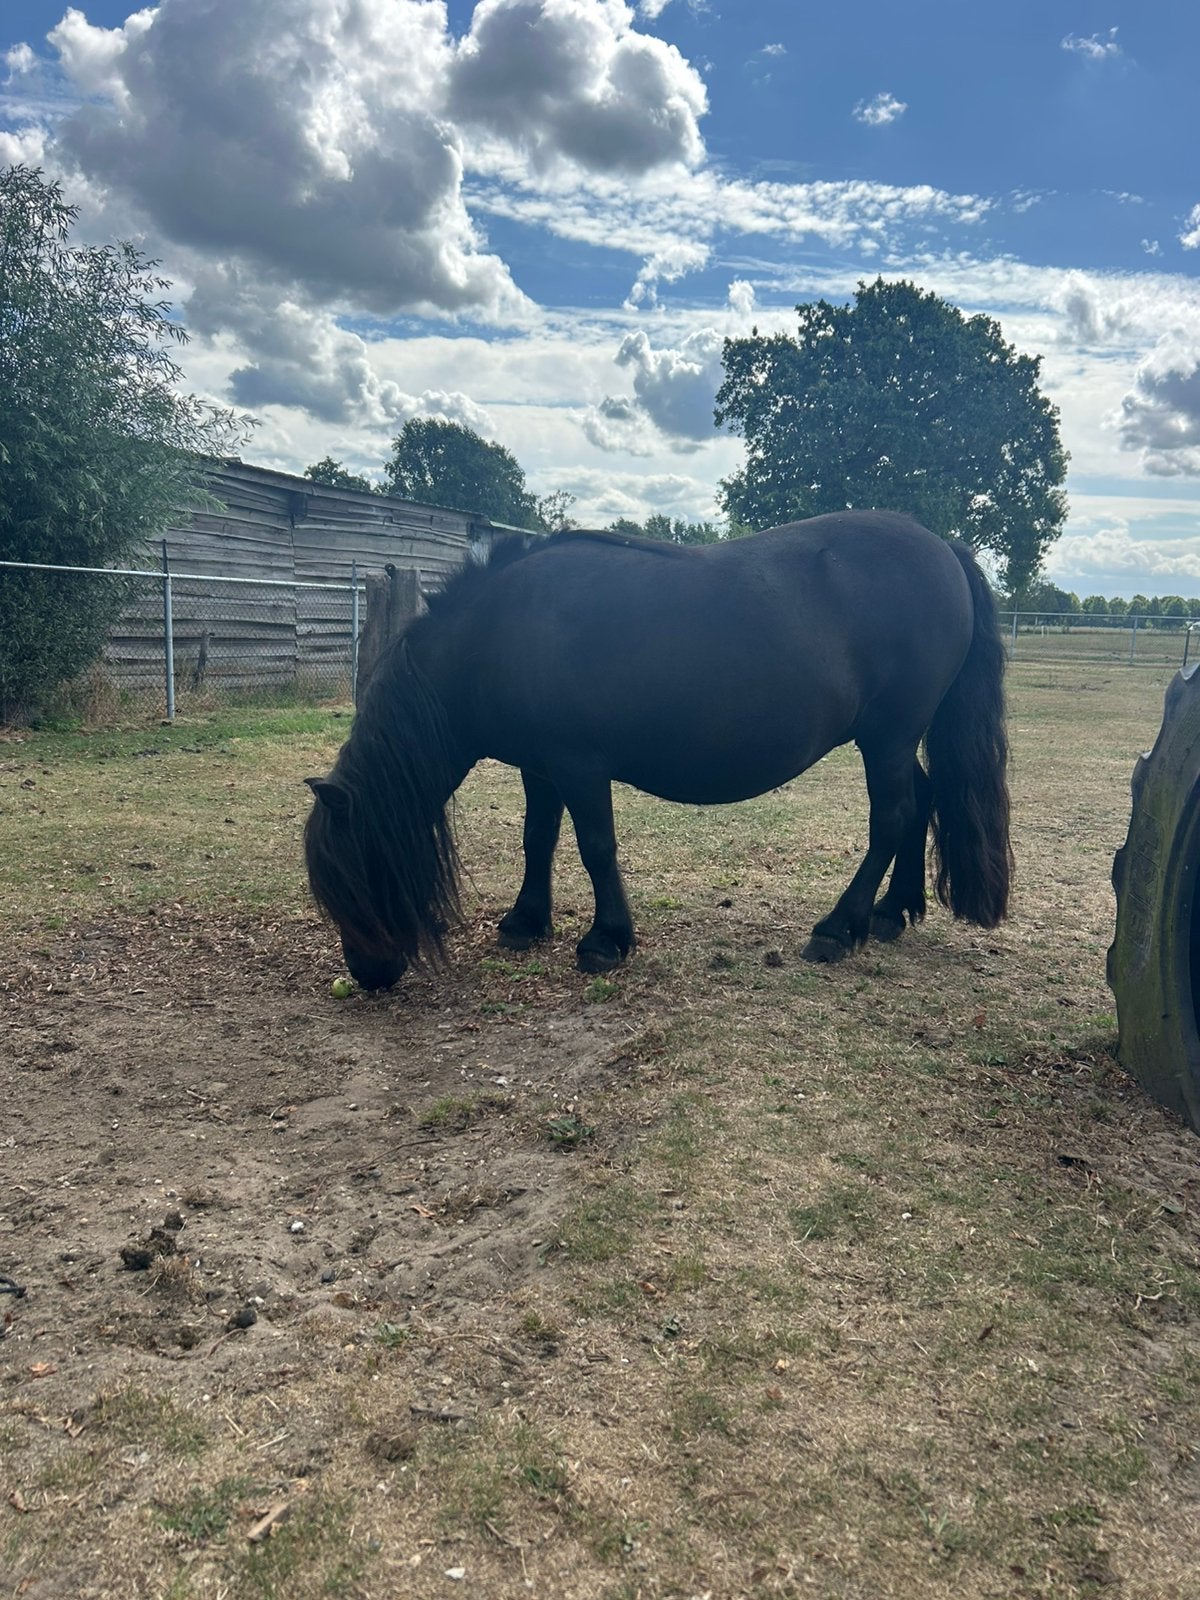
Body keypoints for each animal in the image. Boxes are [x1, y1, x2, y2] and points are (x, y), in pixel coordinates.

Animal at [305, 511, 1012, 990]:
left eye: (355, 874)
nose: (367, 972)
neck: (499, 632)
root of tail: (942, 546)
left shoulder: (578, 766)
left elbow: (595, 847)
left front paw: (605, 940)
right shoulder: (540, 767)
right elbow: (539, 839)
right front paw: (525, 923)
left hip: (887, 737)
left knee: (892, 817)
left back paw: (839, 928)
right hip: (892, 739)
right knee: (922, 801)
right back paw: (893, 913)